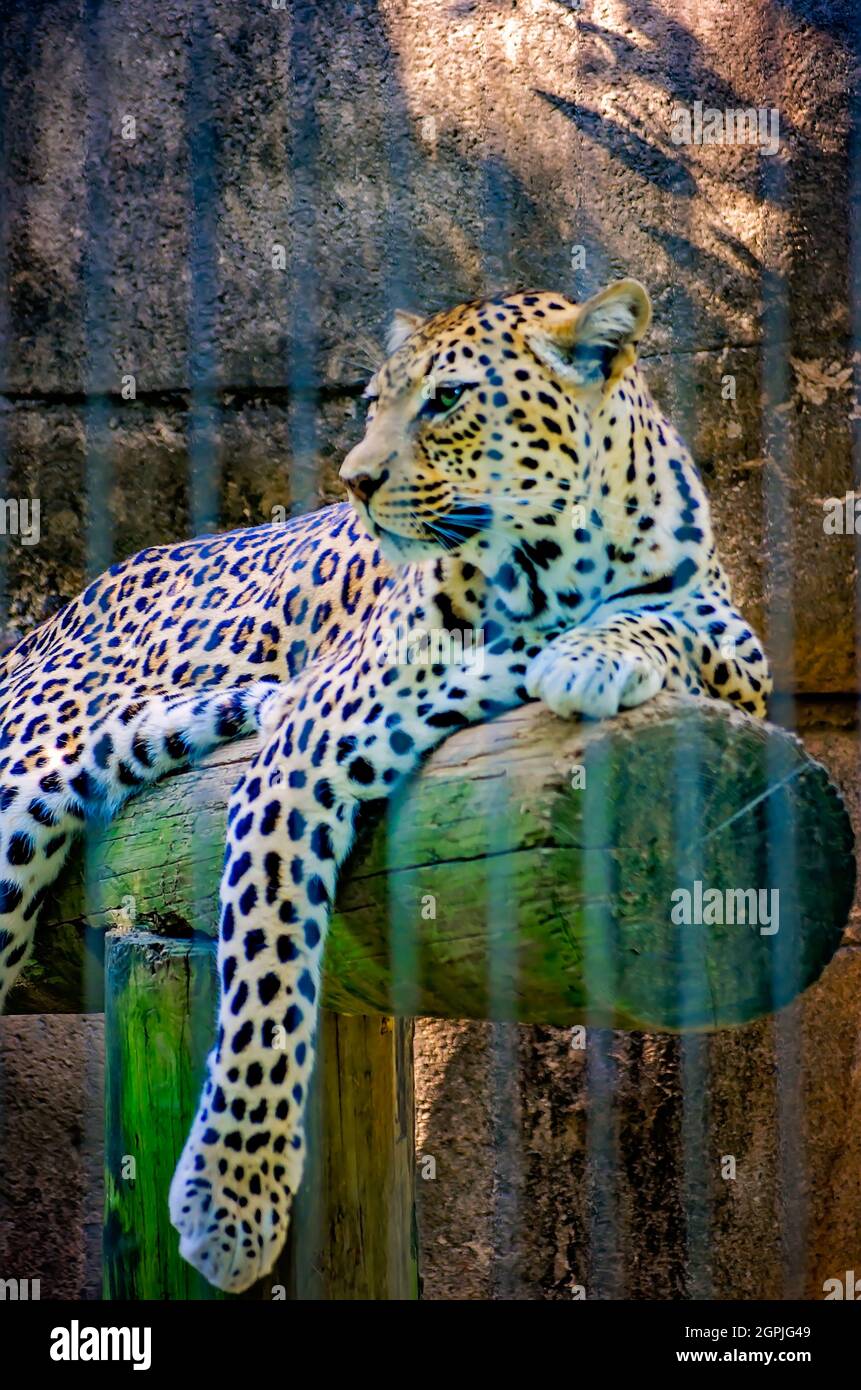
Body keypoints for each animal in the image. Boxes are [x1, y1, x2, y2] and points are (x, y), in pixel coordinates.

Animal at [0, 282, 773, 1289]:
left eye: (445, 401)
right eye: (373, 402)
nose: (355, 482)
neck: (544, 567)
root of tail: (48, 622)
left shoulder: (740, 654)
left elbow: (670, 621)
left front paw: (590, 653)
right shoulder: (307, 744)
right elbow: (267, 964)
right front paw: (231, 1200)